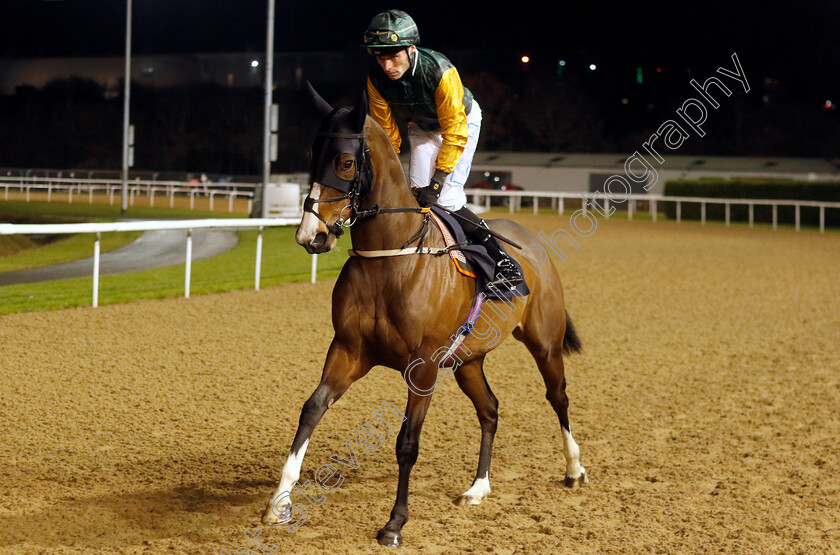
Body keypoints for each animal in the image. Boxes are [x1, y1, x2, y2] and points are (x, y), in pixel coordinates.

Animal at [262, 87, 584, 548]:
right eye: (311, 154)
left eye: (345, 162)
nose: (312, 235)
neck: (391, 259)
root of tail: (530, 239)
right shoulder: (348, 350)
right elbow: (311, 409)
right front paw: (280, 503)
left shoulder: (424, 365)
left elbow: (407, 443)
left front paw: (395, 523)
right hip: (468, 360)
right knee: (490, 409)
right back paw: (478, 487)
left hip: (544, 342)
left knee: (558, 396)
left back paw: (574, 469)